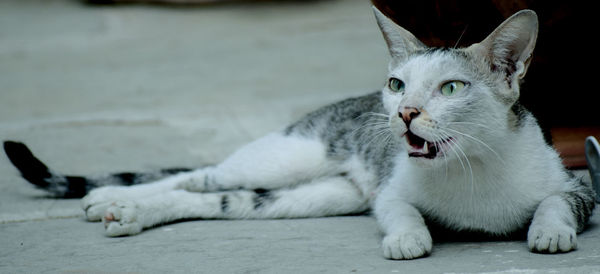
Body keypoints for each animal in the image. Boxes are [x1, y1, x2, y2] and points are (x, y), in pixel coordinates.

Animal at [3, 6, 596, 260]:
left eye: (450, 88)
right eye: (397, 83)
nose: (404, 112)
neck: (468, 170)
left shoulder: (579, 185)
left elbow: (556, 203)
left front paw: (550, 232)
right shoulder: (390, 192)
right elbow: (401, 211)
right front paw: (408, 238)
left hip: (319, 196)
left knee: (217, 198)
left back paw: (127, 211)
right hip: (289, 157)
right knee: (203, 174)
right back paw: (112, 196)